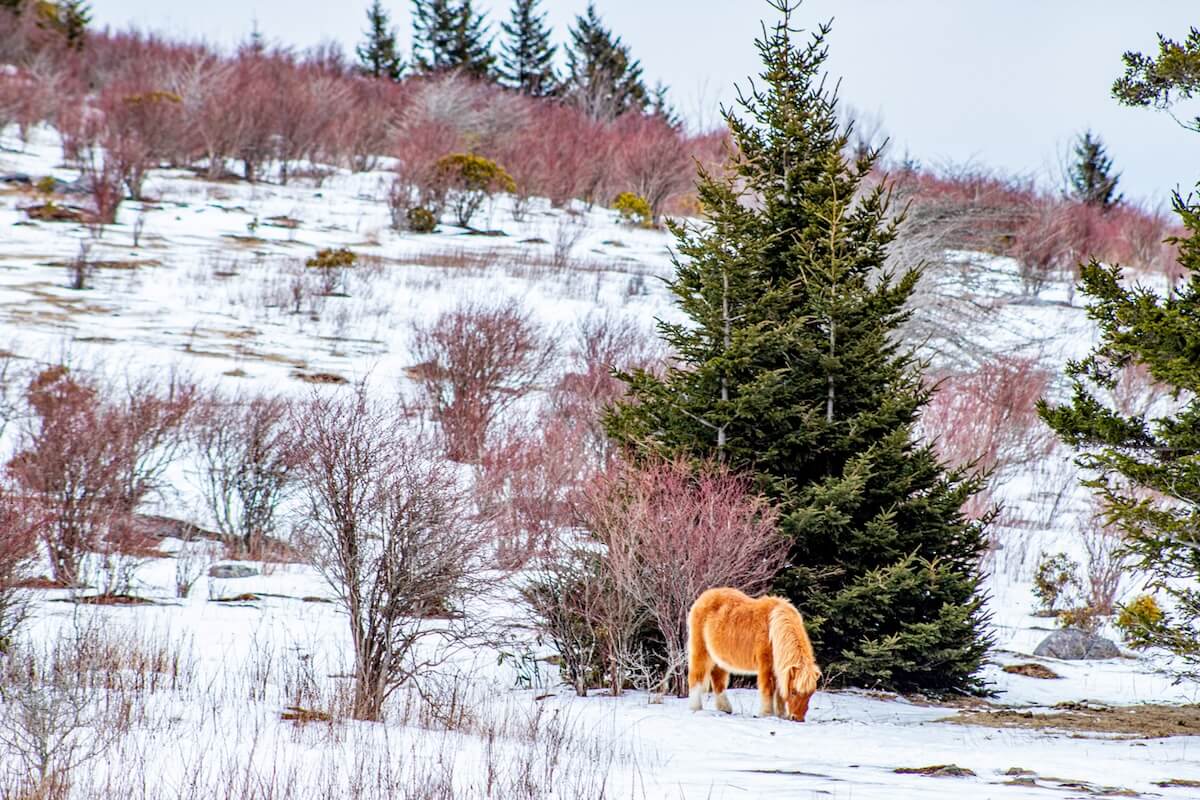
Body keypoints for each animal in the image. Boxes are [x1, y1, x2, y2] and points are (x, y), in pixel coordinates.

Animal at [691, 585, 820, 724]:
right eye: (794, 692)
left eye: (810, 694)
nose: (798, 719)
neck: (773, 628)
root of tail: (705, 595)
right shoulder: (766, 666)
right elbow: (768, 689)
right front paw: (767, 714)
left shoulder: (779, 667)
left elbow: (779, 692)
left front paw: (781, 714)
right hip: (701, 651)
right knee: (696, 677)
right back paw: (695, 707)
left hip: (720, 659)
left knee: (718, 679)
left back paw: (724, 708)